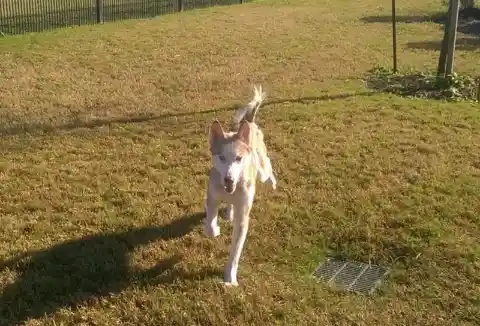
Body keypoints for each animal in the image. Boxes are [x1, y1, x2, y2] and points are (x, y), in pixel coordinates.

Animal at [203, 85, 278, 286]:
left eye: (239, 158)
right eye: (221, 157)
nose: (229, 180)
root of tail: (249, 123)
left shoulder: (243, 217)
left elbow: (235, 251)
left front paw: (230, 278)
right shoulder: (212, 196)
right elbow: (209, 225)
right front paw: (215, 230)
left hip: (261, 169)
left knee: (268, 169)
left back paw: (273, 182)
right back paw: (228, 211)